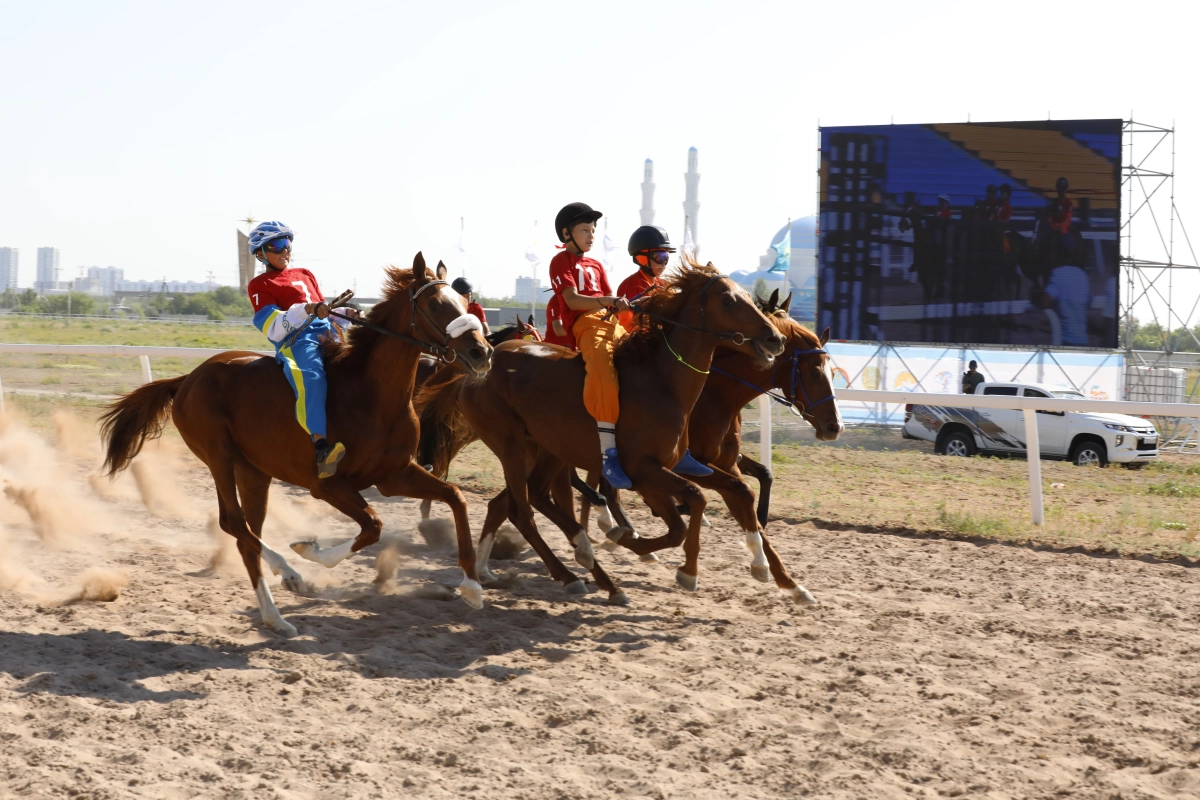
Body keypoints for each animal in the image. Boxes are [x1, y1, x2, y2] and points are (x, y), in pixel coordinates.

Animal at [100, 253, 494, 633]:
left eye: (465, 301)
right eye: (435, 303)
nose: (482, 352)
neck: (370, 395)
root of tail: (187, 379)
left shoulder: (394, 475)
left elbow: (455, 498)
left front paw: (472, 587)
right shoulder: (326, 484)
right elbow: (373, 525)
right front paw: (309, 551)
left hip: (254, 471)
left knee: (247, 532)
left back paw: (277, 611)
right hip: (218, 456)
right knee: (233, 523)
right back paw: (288, 580)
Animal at [417, 262, 792, 599]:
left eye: (747, 296)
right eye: (728, 300)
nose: (774, 339)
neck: (662, 382)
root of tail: (476, 370)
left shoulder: (663, 471)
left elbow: (688, 515)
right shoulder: (642, 469)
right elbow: (693, 502)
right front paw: (677, 565)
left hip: (549, 448)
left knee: (533, 496)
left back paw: (583, 564)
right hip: (510, 444)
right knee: (522, 511)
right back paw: (572, 572)